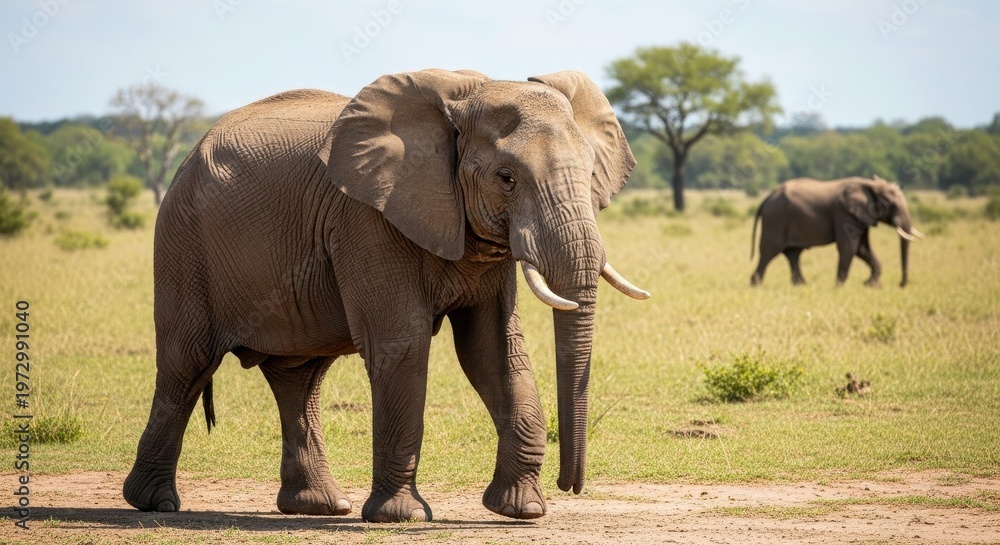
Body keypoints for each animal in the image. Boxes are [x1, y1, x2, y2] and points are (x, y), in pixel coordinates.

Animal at [122, 69, 650, 523]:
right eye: (506, 177)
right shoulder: (368, 220)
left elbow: (492, 351)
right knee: (187, 363)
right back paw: (154, 503)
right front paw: (405, 517)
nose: (570, 486)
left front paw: (522, 511)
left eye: (591, 173)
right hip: (183, 238)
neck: (467, 96)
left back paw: (320, 507)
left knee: (300, 377)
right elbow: (404, 346)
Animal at [750, 176, 924, 287]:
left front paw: (871, 285)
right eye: (891, 204)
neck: (870, 184)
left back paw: (801, 285)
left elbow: (862, 249)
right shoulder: (844, 213)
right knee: (770, 251)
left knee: (793, 253)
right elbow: (849, 247)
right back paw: (755, 284)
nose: (901, 284)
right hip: (776, 219)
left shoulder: (861, 216)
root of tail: (767, 197)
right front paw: (839, 286)